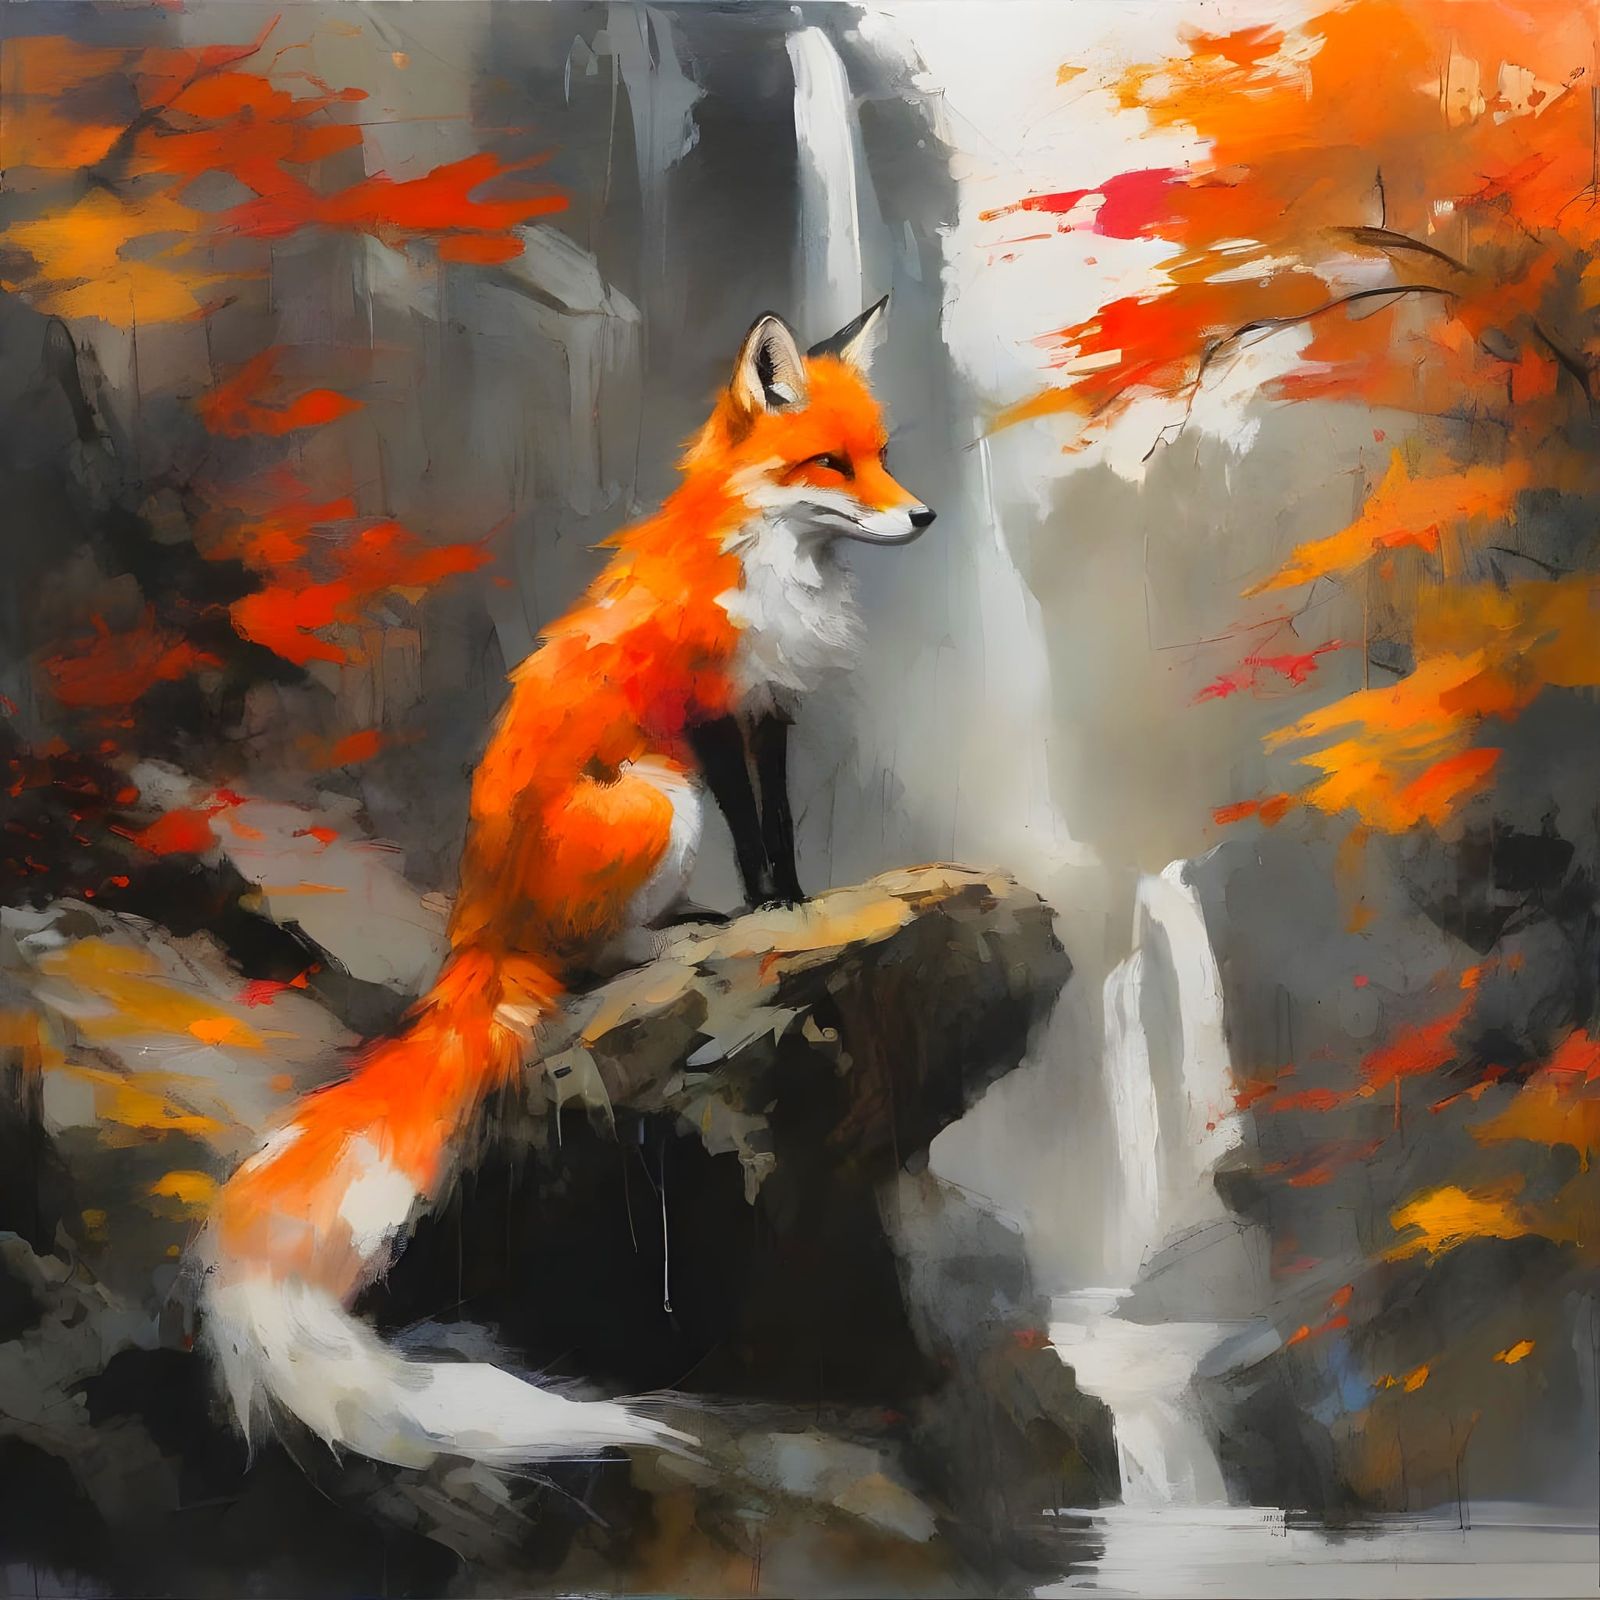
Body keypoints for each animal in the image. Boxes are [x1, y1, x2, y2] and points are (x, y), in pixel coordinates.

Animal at [197, 298, 935, 1470]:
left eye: (882, 455)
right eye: (831, 462)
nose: (924, 513)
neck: (761, 567)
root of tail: (475, 939)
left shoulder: (769, 708)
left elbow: (780, 828)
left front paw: (791, 897)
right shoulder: (710, 712)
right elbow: (754, 835)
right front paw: (773, 911)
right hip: (656, 794)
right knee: (588, 958)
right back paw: (672, 936)